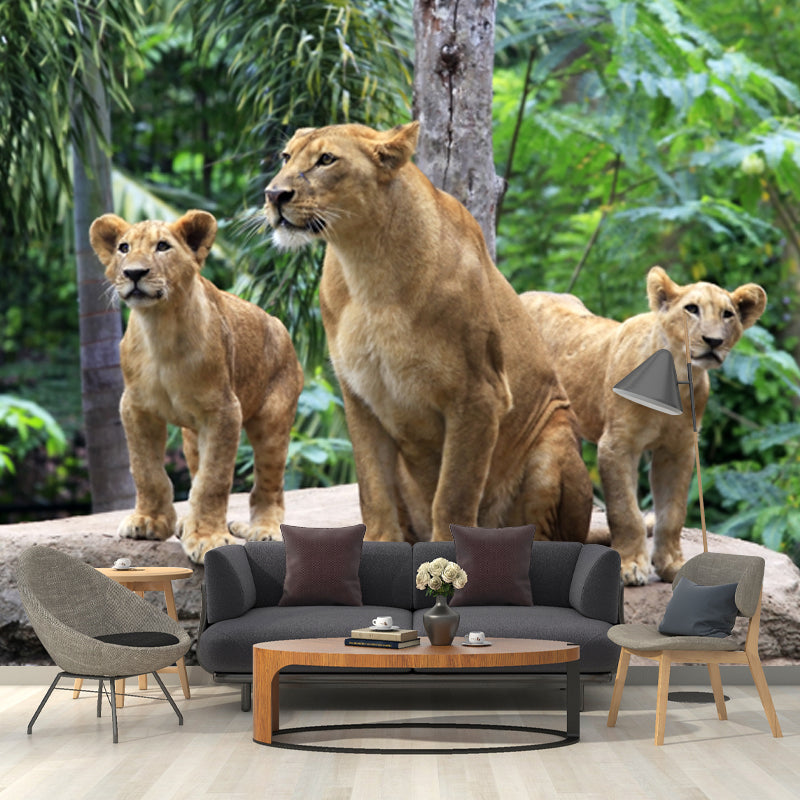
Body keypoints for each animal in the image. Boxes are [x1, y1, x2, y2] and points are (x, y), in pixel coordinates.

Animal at [89, 210, 303, 564]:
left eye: (163, 246)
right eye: (123, 248)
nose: (134, 272)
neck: (159, 328)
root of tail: (280, 326)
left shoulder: (224, 411)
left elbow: (212, 480)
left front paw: (206, 538)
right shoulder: (135, 407)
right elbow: (146, 469)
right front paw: (149, 522)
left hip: (273, 419)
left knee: (269, 483)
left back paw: (266, 529)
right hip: (191, 435)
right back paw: (184, 523)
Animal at [263, 121, 593, 543]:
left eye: (326, 160)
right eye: (286, 157)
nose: (274, 195)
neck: (366, 264)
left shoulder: (479, 394)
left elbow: (454, 491)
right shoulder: (359, 394)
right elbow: (372, 487)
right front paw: (379, 542)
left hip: (554, 437)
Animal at [521, 267, 767, 585]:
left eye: (728, 314)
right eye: (691, 309)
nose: (713, 341)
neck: (676, 376)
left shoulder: (678, 449)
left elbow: (672, 512)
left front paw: (672, 564)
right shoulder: (617, 445)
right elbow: (625, 510)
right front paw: (630, 566)